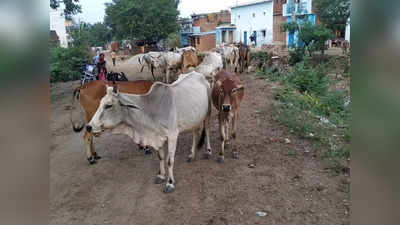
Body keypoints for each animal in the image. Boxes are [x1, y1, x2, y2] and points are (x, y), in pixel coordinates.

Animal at [86, 71, 214, 192]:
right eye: (100, 103)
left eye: (108, 105)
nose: (89, 127)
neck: (151, 110)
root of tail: (198, 74)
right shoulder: (158, 137)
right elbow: (161, 157)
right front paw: (161, 176)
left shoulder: (173, 136)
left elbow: (169, 161)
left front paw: (170, 183)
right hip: (194, 118)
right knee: (195, 133)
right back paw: (192, 155)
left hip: (207, 114)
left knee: (207, 130)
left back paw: (208, 151)